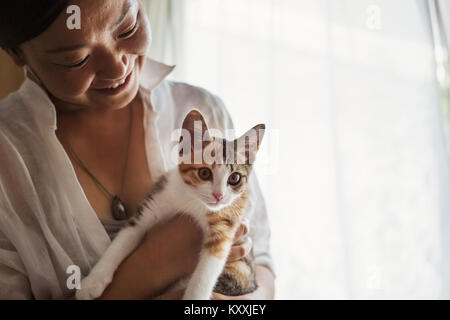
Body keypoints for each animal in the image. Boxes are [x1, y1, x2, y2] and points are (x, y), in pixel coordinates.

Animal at [74, 109, 264, 298]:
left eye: (234, 178)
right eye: (204, 173)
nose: (219, 196)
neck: (192, 200)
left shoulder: (225, 223)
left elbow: (206, 273)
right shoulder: (156, 199)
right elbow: (123, 239)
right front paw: (92, 282)